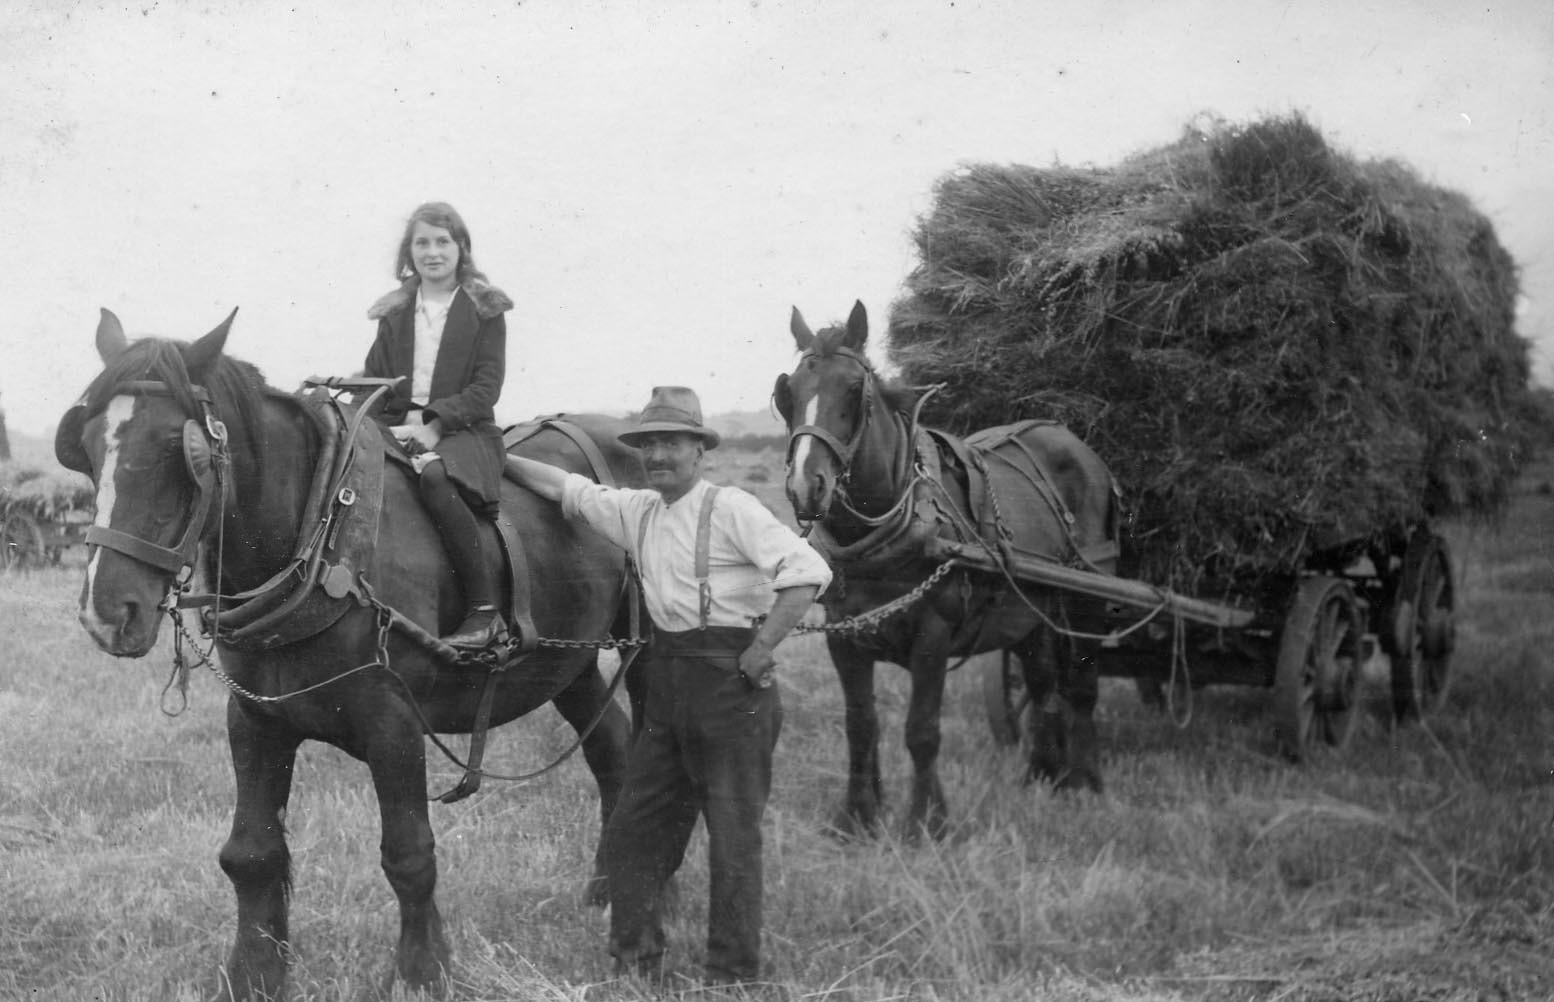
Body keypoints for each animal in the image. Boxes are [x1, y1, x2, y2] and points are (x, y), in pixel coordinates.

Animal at [54, 309, 637, 994]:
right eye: (86, 446)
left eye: (181, 449)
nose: (106, 610)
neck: (319, 531)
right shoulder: (255, 717)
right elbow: (250, 853)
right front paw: (253, 973)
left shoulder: (393, 720)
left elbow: (409, 854)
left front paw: (424, 971)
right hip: (570, 664)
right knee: (612, 752)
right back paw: (607, 886)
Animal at [773, 302, 1118, 838]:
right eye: (788, 393)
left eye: (853, 389)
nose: (807, 487)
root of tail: (1071, 440)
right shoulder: (844, 636)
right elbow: (860, 725)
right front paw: (858, 816)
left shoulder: (933, 633)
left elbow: (922, 730)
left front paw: (927, 821)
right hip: (1031, 607)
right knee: (1043, 683)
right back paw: (1043, 775)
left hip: (1087, 596)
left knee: (1080, 685)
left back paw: (1085, 782)